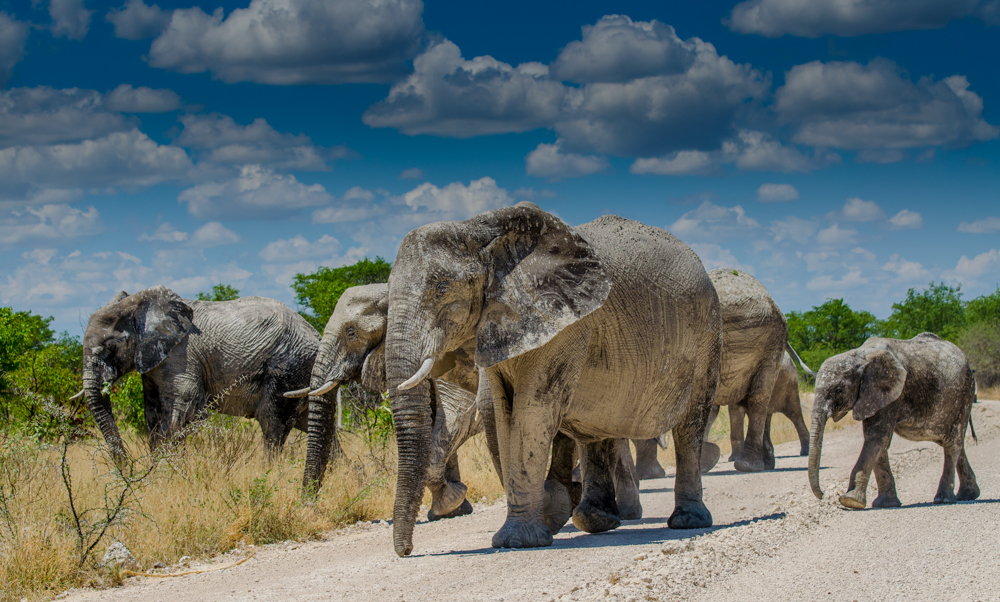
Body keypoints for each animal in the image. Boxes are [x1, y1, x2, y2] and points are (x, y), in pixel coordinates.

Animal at [79, 288, 328, 460]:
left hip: (289, 366)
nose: (126, 466)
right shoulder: (152, 364)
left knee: (272, 423)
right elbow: (152, 415)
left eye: (111, 346)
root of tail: (316, 335)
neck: (138, 304)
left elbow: (185, 408)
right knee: (313, 426)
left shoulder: (181, 355)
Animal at [382, 204, 720, 556]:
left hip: (707, 329)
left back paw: (688, 521)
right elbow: (504, 415)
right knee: (598, 427)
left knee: (691, 422)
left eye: (443, 287)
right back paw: (595, 520)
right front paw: (538, 522)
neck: (480, 231)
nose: (406, 551)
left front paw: (518, 541)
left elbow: (532, 411)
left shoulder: (565, 324)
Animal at [808, 330, 980, 508]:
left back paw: (944, 499)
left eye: (838, 390)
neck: (860, 354)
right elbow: (877, 442)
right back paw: (968, 495)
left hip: (964, 393)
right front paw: (885, 504)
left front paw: (850, 501)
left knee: (953, 443)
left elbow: (877, 438)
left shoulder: (893, 393)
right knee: (951, 442)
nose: (823, 494)